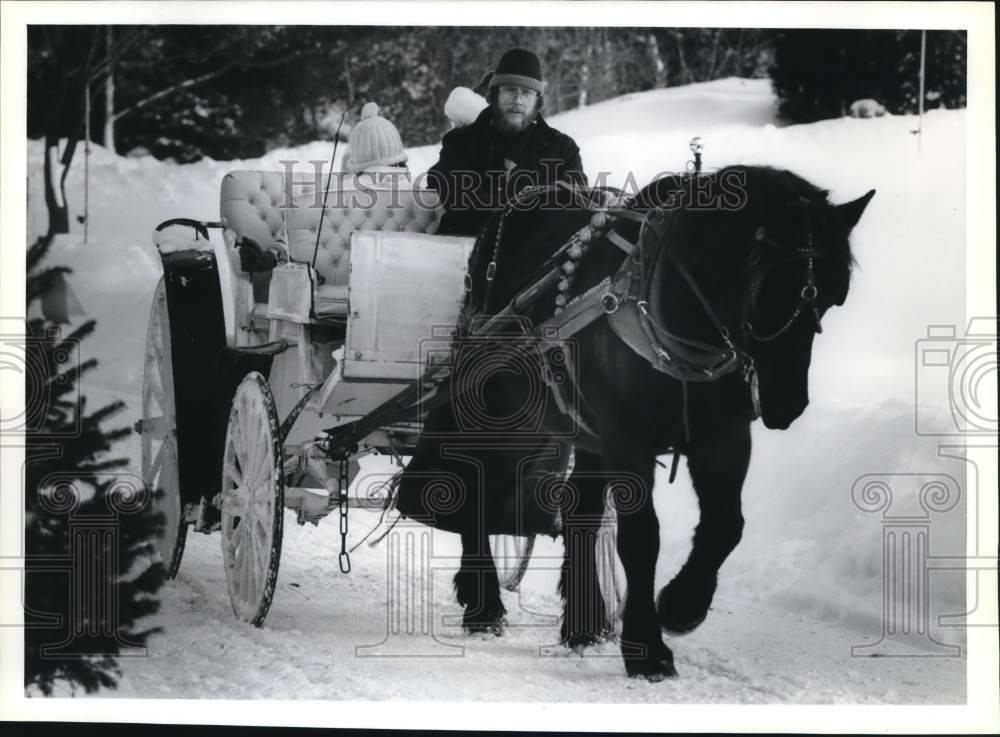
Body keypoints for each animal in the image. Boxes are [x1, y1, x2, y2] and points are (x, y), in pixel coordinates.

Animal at [394, 165, 872, 680]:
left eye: (833, 298)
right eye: (767, 286)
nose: (788, 404)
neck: (675, 320)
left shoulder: (723, 437)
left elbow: (727, 524)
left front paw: (682, 606)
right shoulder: (628, 440)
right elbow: (643, 537)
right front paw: (648, 649)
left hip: (582, 428)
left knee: (578, 510)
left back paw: (582, 625)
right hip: (494, 399)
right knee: (473, 480)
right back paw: (483, 604)